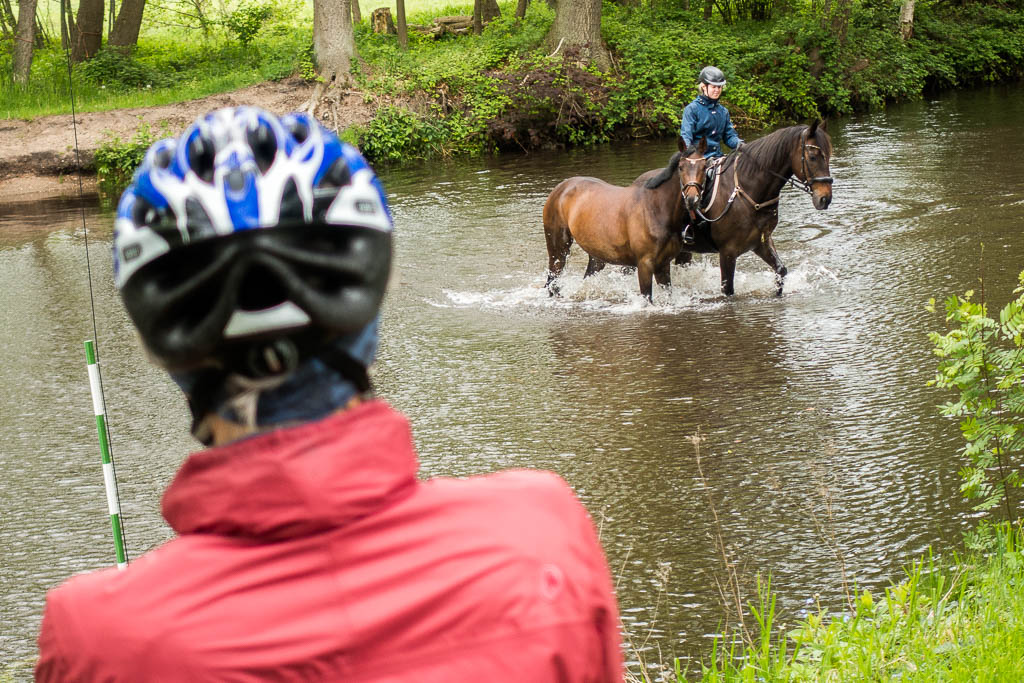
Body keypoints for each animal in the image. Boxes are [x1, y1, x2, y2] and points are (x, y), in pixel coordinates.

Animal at [544, 137, 712, 301]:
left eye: (704, 167)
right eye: (681, 167)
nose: (692, 199)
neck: (656, 209)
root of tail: (560, 188)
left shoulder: (663, 265)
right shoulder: (644, 264)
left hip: (597, 255)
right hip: (558, 251)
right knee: (552, 281)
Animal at [634, 120, 835, 296]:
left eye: (829, 155)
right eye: (812, 157)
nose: (825, 198)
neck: (749, 191)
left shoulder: (761, 242)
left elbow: (781, 271)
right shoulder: (728, 252)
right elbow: (728, 290)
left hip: (684, 251)